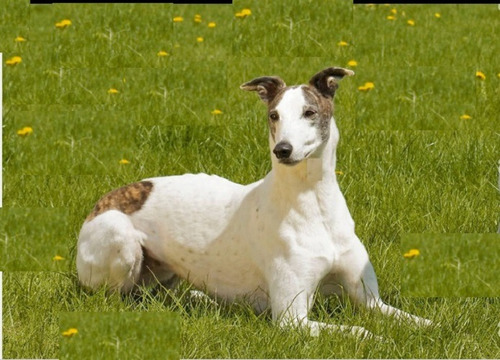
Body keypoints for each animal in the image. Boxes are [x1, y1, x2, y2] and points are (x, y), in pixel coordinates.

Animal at [76, 67, 432, 338]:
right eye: (274, 115)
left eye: (309, 112)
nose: (283, 150)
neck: (314, 204)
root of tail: (104, 199)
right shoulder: (292, 318)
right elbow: (359, 330)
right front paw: (381, 339)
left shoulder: (371, 300)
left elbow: (415, 319)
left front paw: (433, 327)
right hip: (120, 239)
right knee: (121, 298)